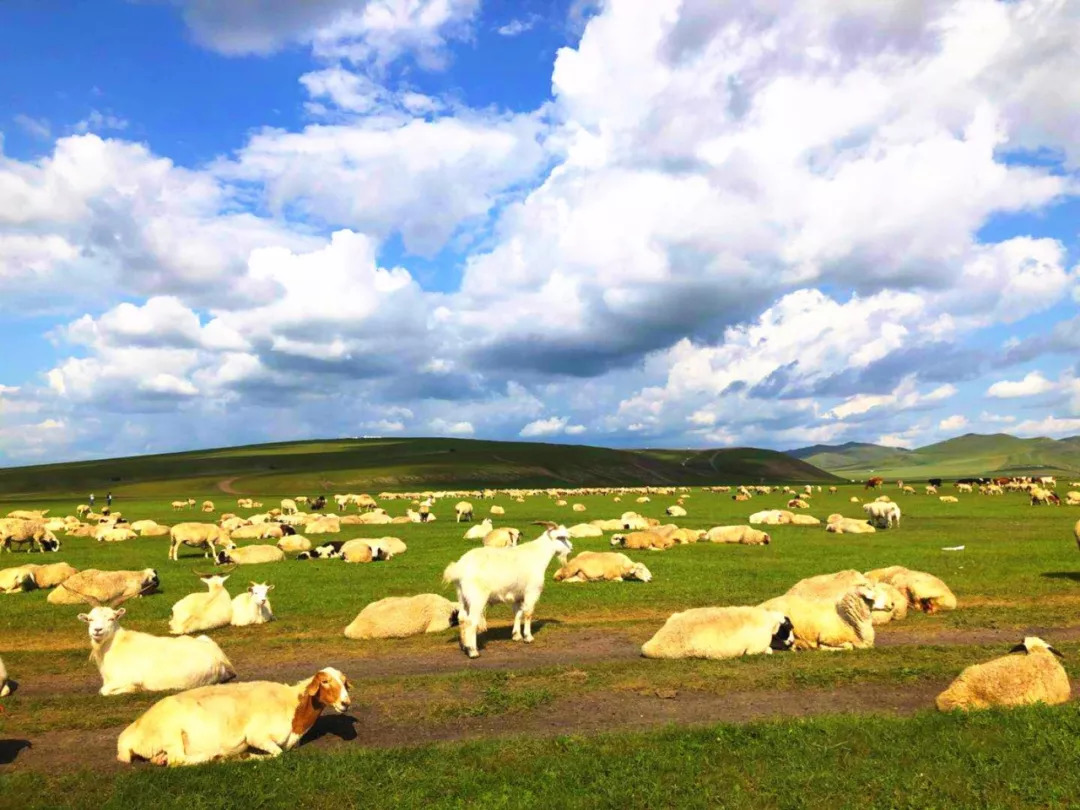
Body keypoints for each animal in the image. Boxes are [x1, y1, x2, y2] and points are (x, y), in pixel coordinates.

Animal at [117, 665, 349, 768]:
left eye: (345, 682)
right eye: (325, 682)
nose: (346, 703)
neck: (292, 706)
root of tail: (128, 737)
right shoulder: (257, 736)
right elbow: (277, 754)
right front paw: (247, 756)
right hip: (170, 732)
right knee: (177, 761)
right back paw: (217, 757)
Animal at [440, 520, 574, 660]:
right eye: (560, 537)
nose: (571, 548)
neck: (537, 555)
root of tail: (459, 567)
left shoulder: (517, 595)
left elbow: (518, 613)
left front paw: (516, 635)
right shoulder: (532, 591)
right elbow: (528, 613)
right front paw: (528, 637)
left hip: (462, 595)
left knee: (462, 618)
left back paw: (464, 645)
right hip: (477, 597)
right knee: (471, 621)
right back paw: (473, 651)